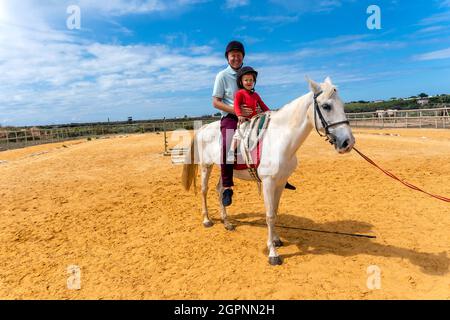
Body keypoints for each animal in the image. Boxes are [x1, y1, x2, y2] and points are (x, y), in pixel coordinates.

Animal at [180, 77, 356, 264]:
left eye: (343, 105)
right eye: (326, 106)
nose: (348, 142)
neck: (280, 140)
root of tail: (203, 128)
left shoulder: (280, 182)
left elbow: (275, 211)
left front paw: (277, 240)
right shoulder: (268, 183)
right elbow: (269, 215)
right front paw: (273, 253)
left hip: (225, 170)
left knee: (220, 189)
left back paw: (226, 222)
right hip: (206, 166)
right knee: (204, 190)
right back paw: (207, 220)